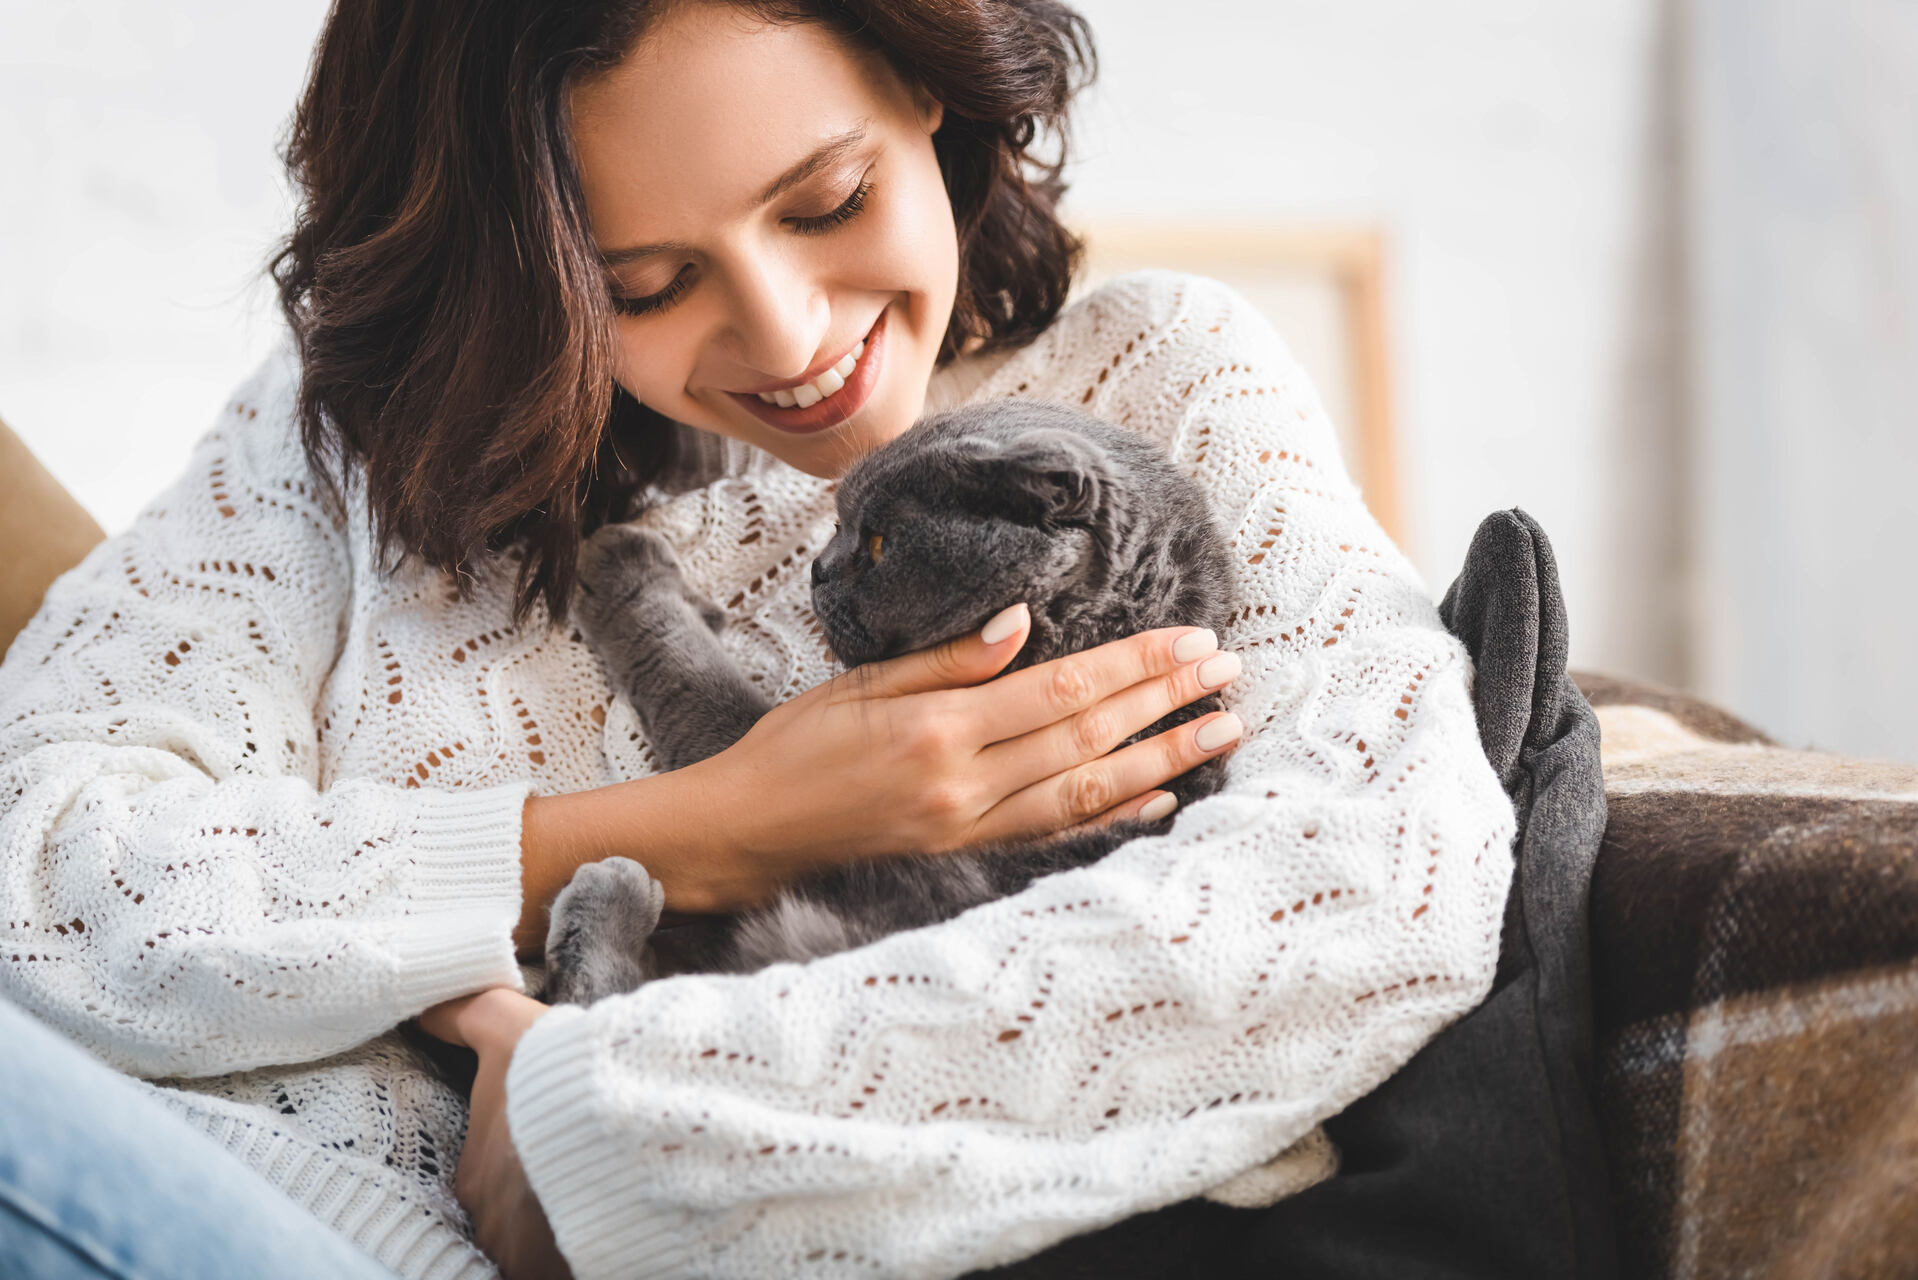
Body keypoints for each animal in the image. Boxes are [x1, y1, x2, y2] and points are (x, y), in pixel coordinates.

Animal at [548, 397, 1235, 997]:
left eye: (879, 544)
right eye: (837, 523)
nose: (816, 568)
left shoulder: (754, 755)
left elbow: (690, 675)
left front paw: (623, 562)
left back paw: (611, 897)